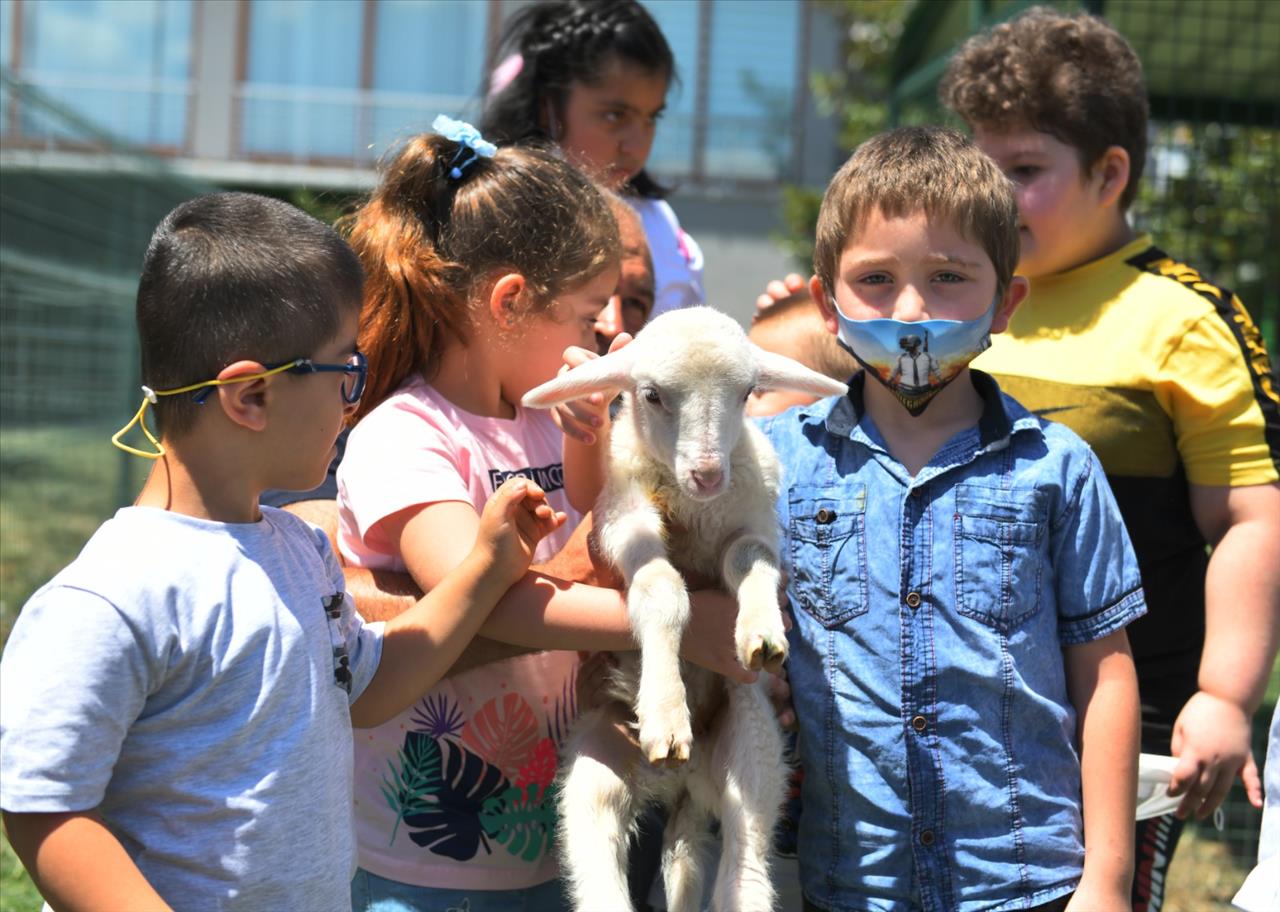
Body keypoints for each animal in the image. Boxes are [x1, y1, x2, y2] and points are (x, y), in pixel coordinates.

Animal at [519, 306, 849, 912]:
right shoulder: (623, 518)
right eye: (650, 395)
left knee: (742, 864)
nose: (709, 474)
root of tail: (681, 783)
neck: (692, 507)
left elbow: (752, 561)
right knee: (603, 862)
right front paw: (667, 713)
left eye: (747, 393)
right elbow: (661, 587)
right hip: (599, 760)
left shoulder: (751, 518)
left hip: (751, 748)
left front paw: (761, 631)